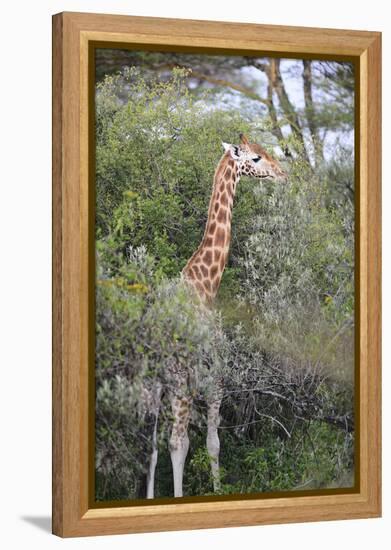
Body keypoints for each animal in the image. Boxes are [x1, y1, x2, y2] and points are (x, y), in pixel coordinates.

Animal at [145, 134, 286, 500]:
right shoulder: (215, 377)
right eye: (256, 157)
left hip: (151, 384)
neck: (205, 284)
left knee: (151, 446)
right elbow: (212, 443)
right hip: (177, 382)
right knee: (176, 442)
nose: (283, 174)